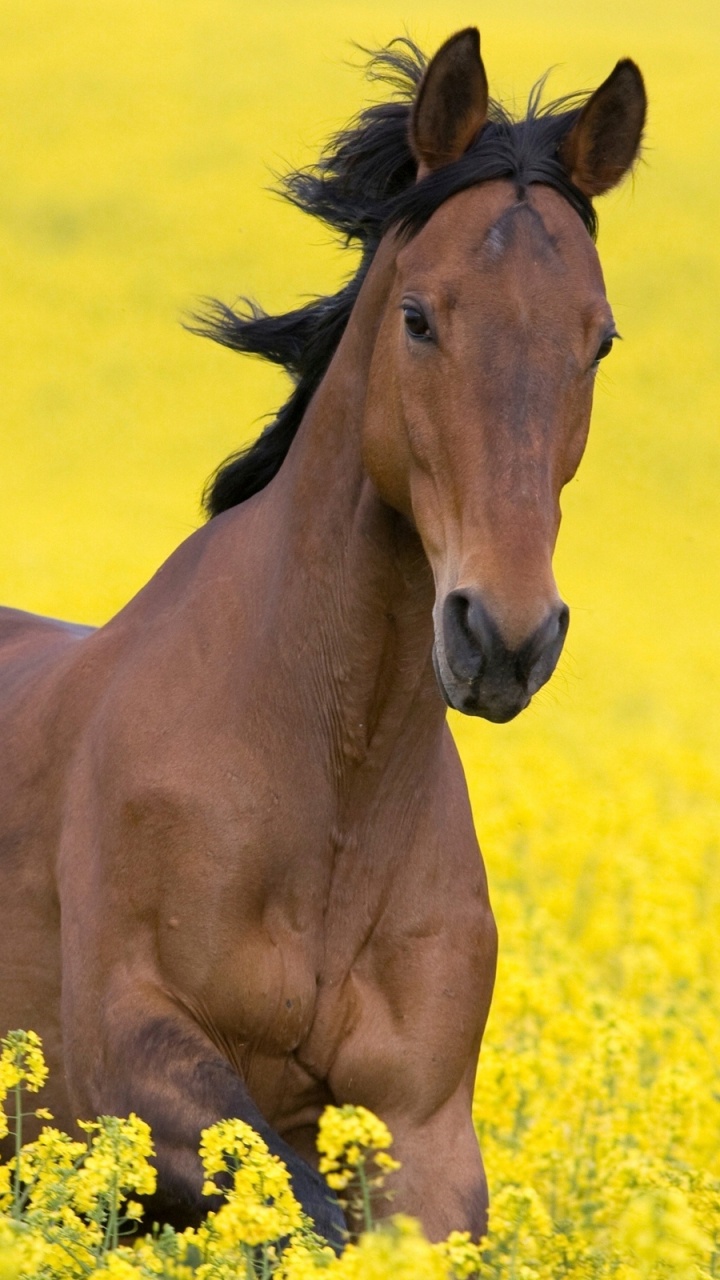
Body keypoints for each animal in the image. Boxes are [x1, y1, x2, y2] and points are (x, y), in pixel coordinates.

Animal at [0, 29, 645, 1246]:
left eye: (599, 341)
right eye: (420, 316)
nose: (506, 638)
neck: (327, 775)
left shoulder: (424, 1127)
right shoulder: (128, 1059)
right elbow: (300, 1218)